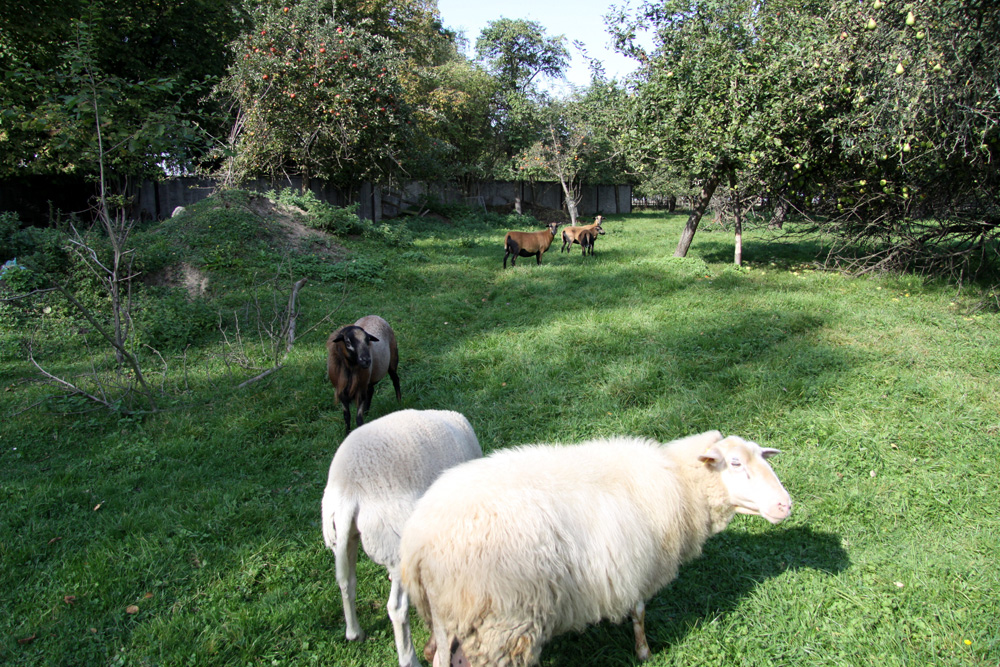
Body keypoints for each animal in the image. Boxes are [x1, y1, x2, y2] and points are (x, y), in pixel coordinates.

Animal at [321, 409, 483, 667]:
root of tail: (349, 490)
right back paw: (409, 658)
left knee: (347, 582)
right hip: (396, 544)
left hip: (343, 538)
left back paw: (354, 632)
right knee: (396, 608)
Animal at [400, 430, 791, 667]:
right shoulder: (636, 565)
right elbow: (639, 613)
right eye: (736, 464)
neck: (679, 481)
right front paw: (644, 652)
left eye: (763, 458)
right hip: (503, 622)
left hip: (447, 614)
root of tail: (418, 540)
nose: (785, 505)